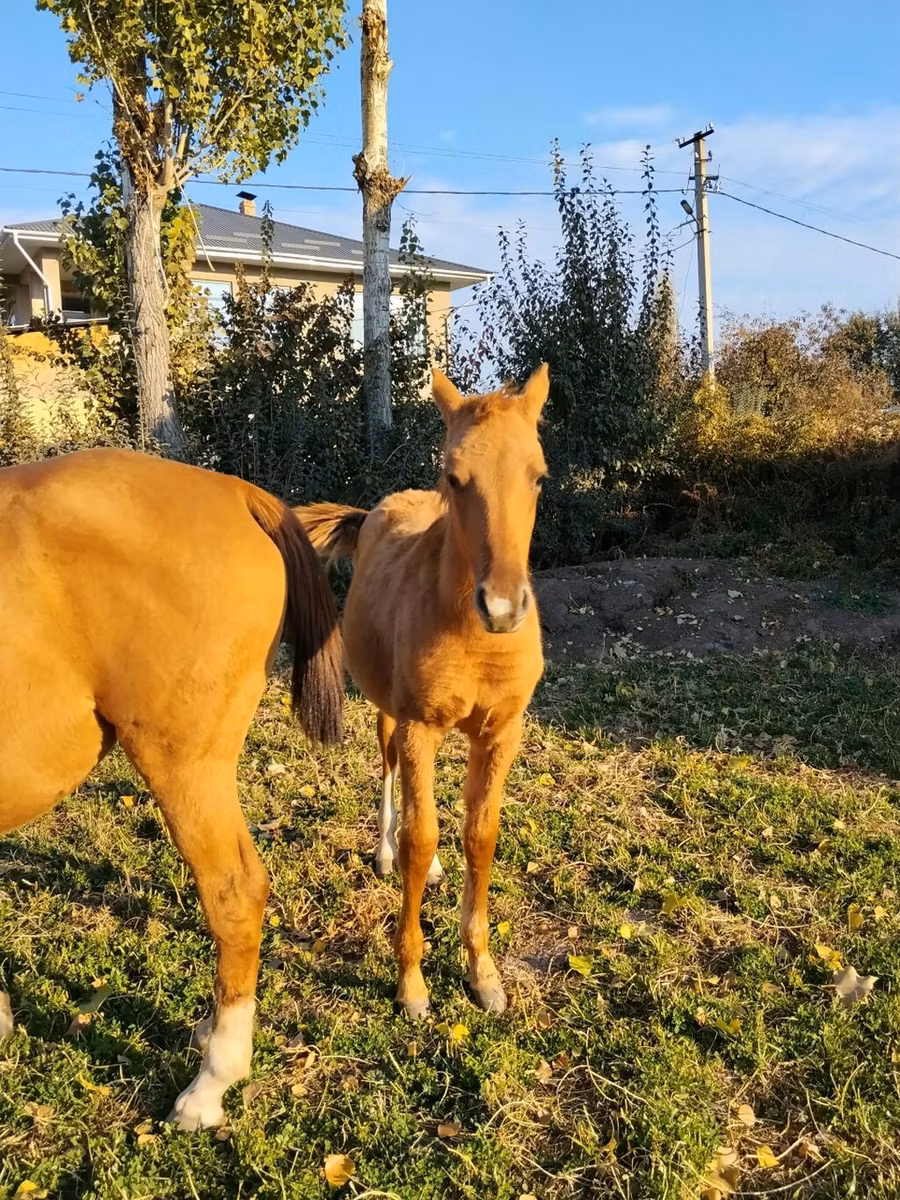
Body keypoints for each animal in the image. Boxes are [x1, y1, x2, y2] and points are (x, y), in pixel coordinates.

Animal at [296, 364, 548, 1018]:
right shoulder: (419, 726)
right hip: (389, 708)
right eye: (454, 477)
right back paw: (384, 851)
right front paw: (411, 982)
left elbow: (479, 835)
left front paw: (483, 973)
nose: (503, 608)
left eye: (539, 475)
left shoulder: (500, 733)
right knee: (388, 769)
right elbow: (420, 833)